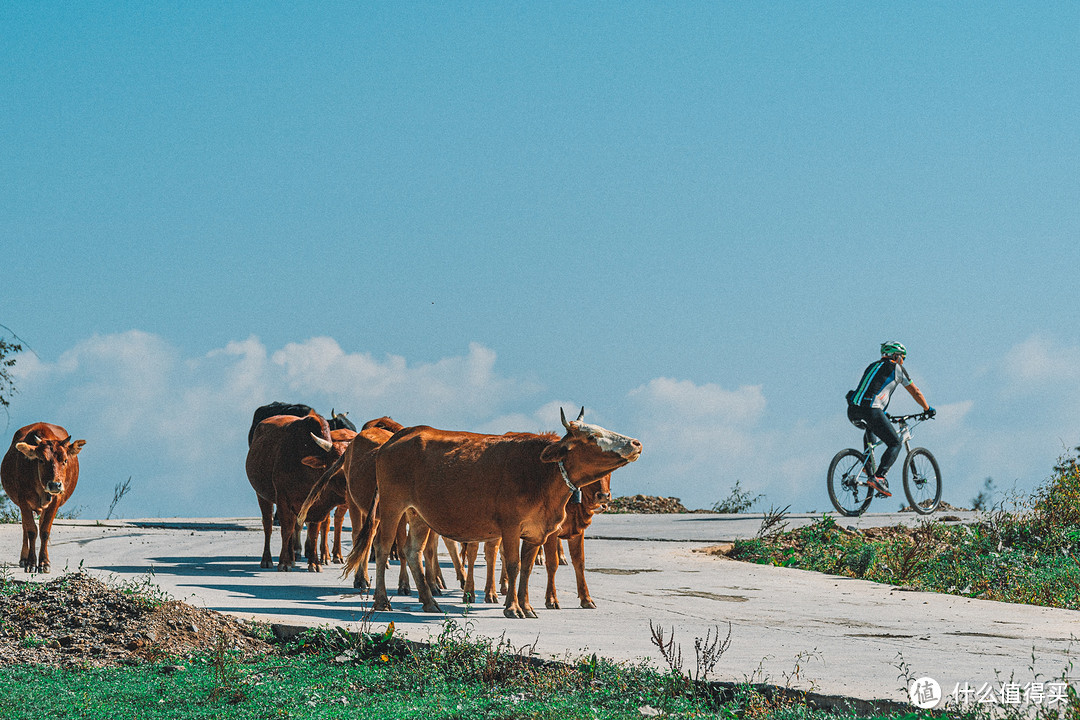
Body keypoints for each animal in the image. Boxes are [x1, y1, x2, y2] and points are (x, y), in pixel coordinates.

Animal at [247, 414, 343, 569]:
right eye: (335, 464)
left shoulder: (316, 505)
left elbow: (314, 531)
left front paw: (314, 563)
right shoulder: (283, 499)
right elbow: (286, 529)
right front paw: (284, 562)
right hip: (262, 495)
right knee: (268, 525)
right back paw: (267, 559)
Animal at [354, 408, 639, 617]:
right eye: (591, 437)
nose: (636, 443)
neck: (541, 473)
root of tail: (398, 437)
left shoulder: (537, 532)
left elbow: (526, 568)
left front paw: (526, 606)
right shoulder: (510, 527)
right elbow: (513, 565)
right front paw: (512, 608)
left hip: (418, 514)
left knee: (414, 552)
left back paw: (429, 602)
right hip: (392, 506)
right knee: (382, 547)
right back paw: (382, 601)